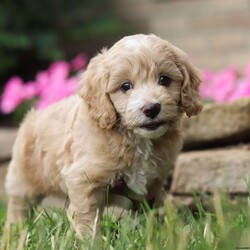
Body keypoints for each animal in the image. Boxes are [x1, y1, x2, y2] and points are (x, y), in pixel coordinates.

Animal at [4, 34, 203, 235]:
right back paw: (15, 229)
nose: (151, 108)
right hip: (23, 178)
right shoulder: (83, 180)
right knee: (18, 203)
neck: (135, 137)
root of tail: (32, 116)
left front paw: (154, 232)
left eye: (164, 80)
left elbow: (150, 211)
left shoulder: (153, 184)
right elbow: (86, 216)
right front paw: (89, 239)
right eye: (125, 86)